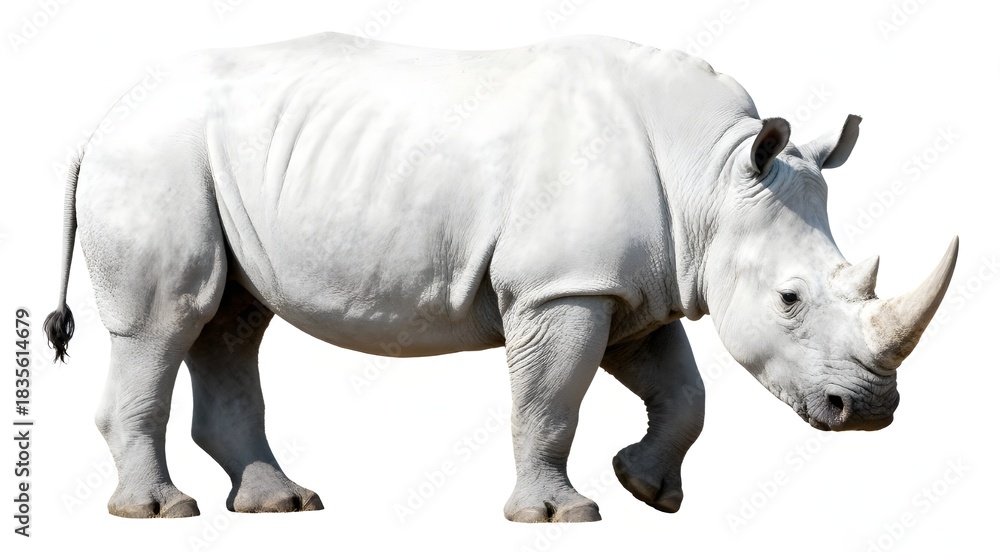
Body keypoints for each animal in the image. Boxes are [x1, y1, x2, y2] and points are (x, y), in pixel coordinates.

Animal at [45, 33, 958, 522]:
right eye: (791, 300)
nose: (870, 412)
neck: (710, 175)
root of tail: (98, 124)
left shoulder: (630, 285)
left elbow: (684, 392)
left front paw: (649, 490)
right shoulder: (562, 286)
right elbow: (551, 400)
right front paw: (562, 514)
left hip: (204, 162)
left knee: (229, 320)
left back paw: (282, 505)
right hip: (154, 158)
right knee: (167, 319)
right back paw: (158, 512)